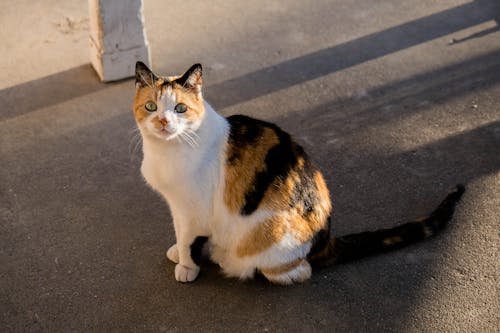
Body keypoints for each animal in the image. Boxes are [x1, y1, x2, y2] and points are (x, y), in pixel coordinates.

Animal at [133, 61, 464, 284]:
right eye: (150, 107)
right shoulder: (177, 207)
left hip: (268, 235)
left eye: (180, 108)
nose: (163, 122)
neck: (168, 151)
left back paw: (232, 260)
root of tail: (326, 237)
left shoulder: (195, 210)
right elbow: (181, 233)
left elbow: (190, 239)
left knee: (299, 270)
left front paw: (187, 266)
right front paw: (178, 251)